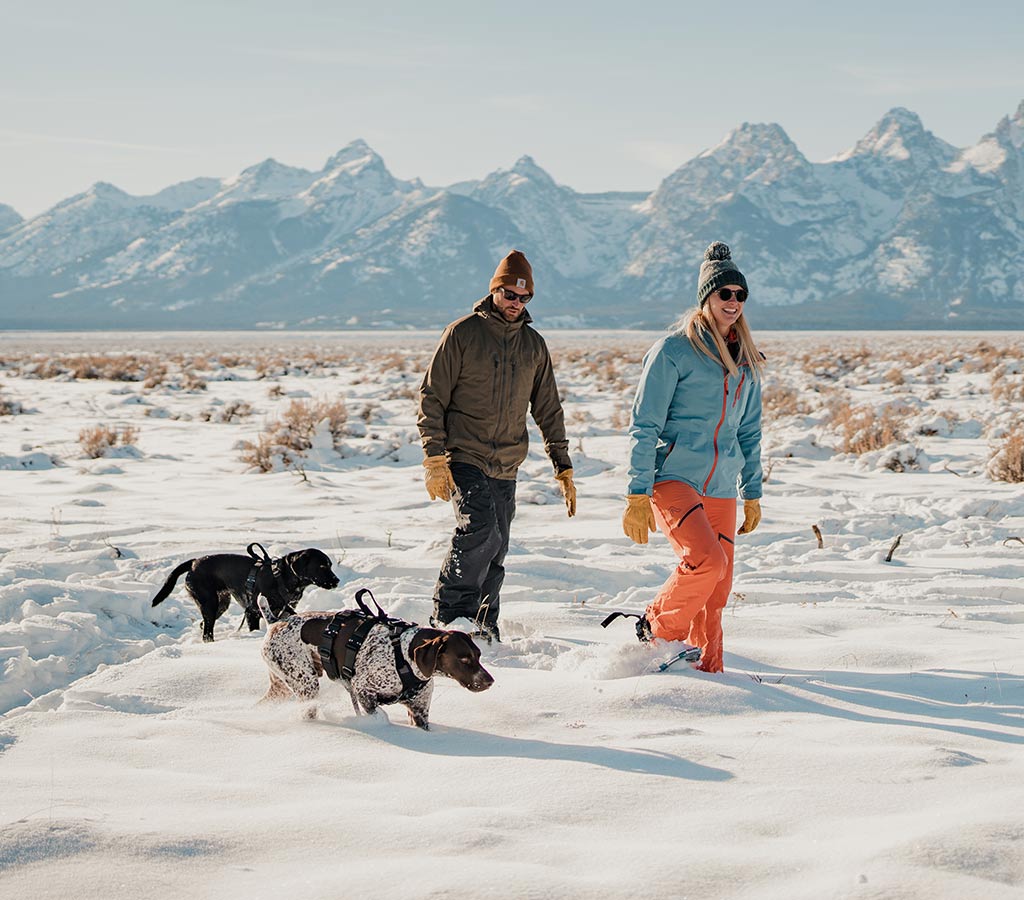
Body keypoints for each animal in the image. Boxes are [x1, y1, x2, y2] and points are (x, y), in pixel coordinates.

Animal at [149, 544, 339, 643]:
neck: (281, 578)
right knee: (207, 631)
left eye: (330, 565)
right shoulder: (252, 612)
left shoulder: (285, 611)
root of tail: (194, 562)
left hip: (221, 603)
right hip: (209, 603)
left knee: (204, 625)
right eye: (322, 566)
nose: (336, 581)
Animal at [260, 610, 491, 729]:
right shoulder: (363, 690)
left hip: (281, 686)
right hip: (306, 684)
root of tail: (275, 623)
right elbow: (379, 714)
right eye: (464, 659)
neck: (403, 654)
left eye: (479, 655)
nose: (490, 681)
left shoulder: (419, 711)